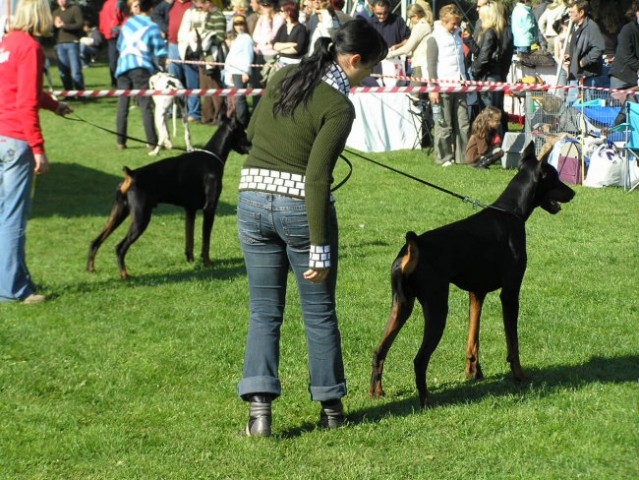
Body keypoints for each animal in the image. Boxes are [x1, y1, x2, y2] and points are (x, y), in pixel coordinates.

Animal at [86, 115, 251, 278]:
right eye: (243, 132)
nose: (251, 144)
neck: (213, 155)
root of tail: (131, 175)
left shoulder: (189, 210)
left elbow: (189, 238)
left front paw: (190, 260)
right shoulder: (209, 208)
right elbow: (206, 240)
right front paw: (208, 263)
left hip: (118, 212)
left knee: (95, 241)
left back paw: (90, 268)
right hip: (141, 217)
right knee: (119, 247)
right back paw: (124, 275)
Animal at [370, 138, 576, 404]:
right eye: (555, 178)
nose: (573, 192)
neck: (511, 212)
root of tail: (413, 246)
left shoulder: (477, 292)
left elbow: (473, 336)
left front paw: (473, 371)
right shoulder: (510, 292)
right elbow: (513, 342)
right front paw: (519, 375)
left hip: (401, 303)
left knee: (379, 349)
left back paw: (376, 391)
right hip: (436, 306)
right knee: (419, 359)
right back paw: (427, 400)